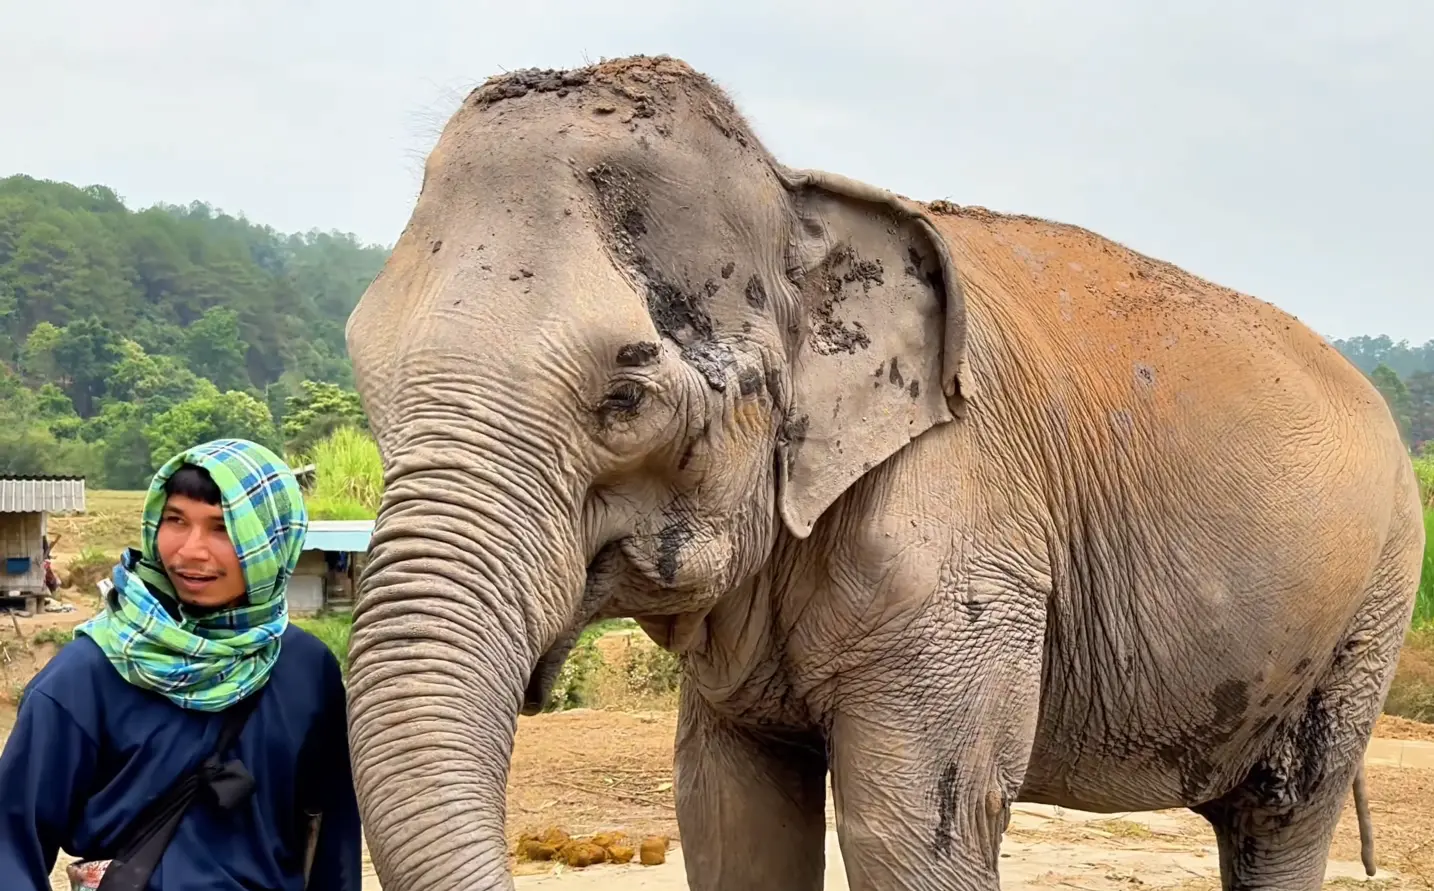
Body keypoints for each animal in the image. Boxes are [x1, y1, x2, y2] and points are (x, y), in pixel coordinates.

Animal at [341, 55, 1427, 891]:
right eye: (365, 371)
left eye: (627, 396)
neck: (796, 192)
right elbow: (730, 820)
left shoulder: (963, 553)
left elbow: (910, 831)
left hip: (1372, 601)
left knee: (1283, 813)